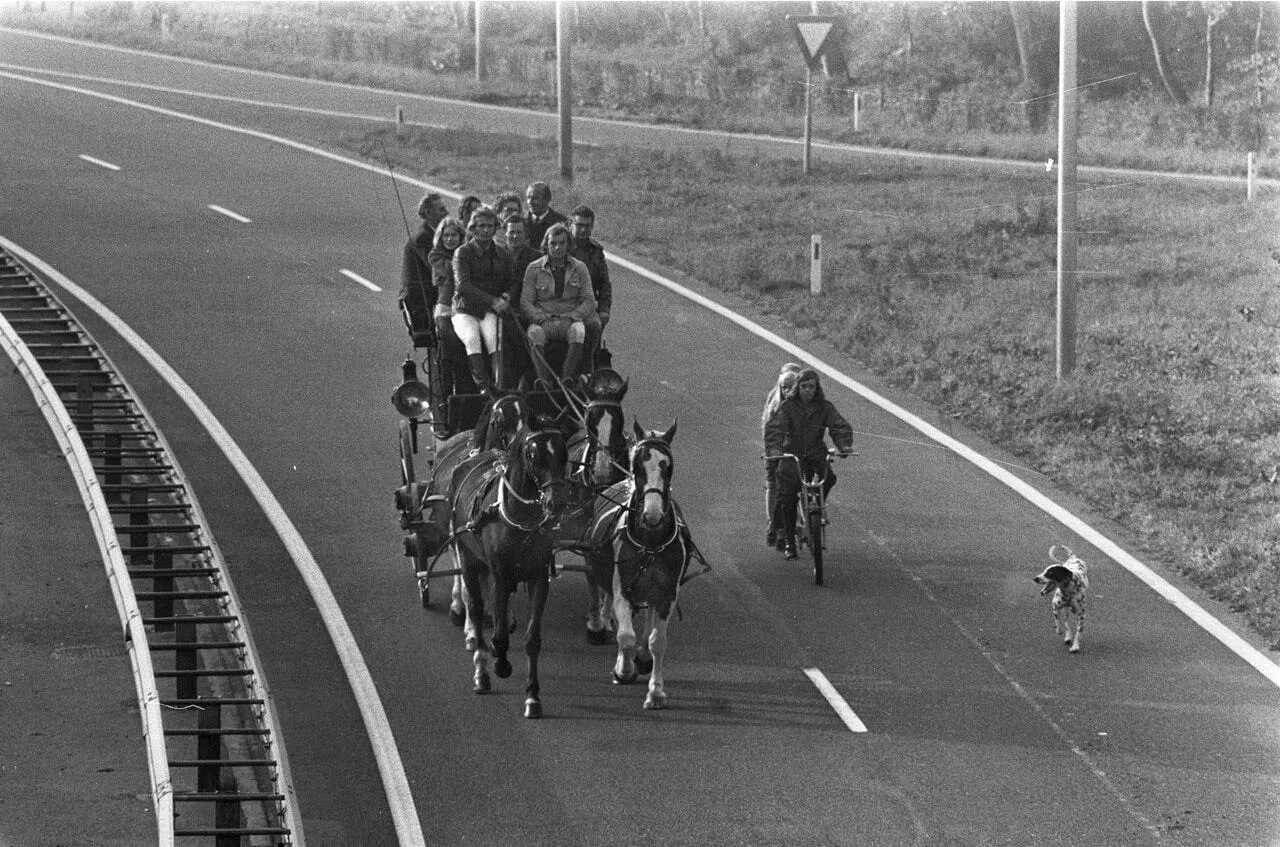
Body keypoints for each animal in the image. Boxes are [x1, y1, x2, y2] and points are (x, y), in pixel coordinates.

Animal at [450, 422, 570, 716]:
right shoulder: (500, 576)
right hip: (469, 559)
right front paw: (500, 664)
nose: (557, 502)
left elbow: (532, 639)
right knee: (477, 608)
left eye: (564, 453)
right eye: (534, 455)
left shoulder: (538, 577)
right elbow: (500, 634)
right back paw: (481, 671)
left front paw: (533, 697)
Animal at [586, 422, 691, 711]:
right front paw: (623, 670)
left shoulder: (667, 594)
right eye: (637, 466)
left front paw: (656, 692)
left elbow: (657, 641)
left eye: (668, 466)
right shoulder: (623, 587)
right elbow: (626, 635)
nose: (652, 514)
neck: (650, 543)